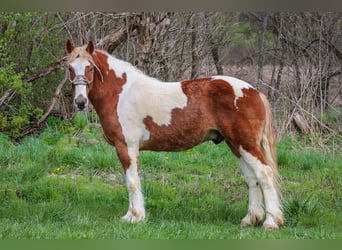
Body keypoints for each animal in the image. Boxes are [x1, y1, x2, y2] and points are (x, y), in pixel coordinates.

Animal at [65, 40, 284, 229]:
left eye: (90, 67)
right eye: (70, 68)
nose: (80, 102)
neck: (120, 93)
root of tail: (254, 92)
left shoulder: (126, 147)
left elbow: (132, 182)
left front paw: (135, 217)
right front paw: (132, 215)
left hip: (245, 144)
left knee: (264, 174)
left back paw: (271, 222)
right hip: (236, 145)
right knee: (252, 178)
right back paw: (250, 219)